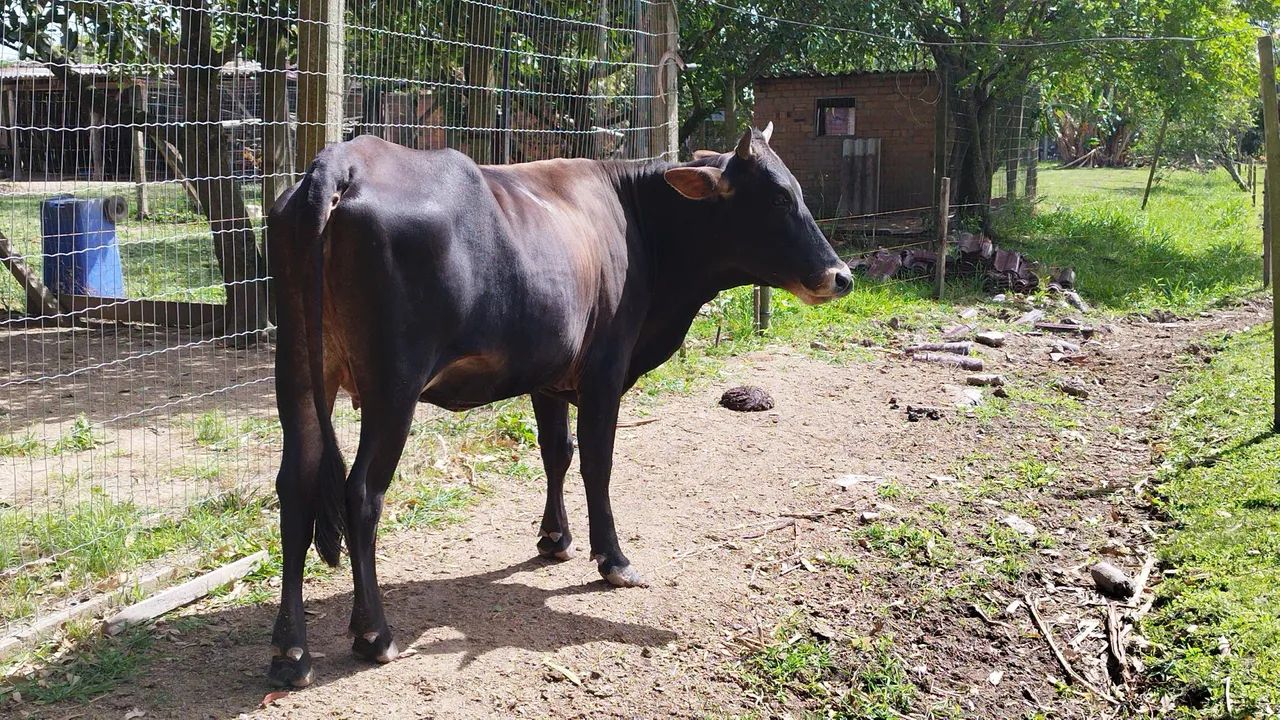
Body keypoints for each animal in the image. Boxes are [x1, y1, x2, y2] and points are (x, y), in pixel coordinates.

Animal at [265, 124, 852, 687]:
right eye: (777, 197)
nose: (841, 276)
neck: (635, 220)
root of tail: (342, 162)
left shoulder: (547, 378)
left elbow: (556, 453)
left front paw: (555, 539)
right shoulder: (604, 371)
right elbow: (596, 462)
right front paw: (613, 559)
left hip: (298, 372)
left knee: (295, 489)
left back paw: (291, 651)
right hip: (393, 387)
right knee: (362, 493)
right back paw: (374, 633)